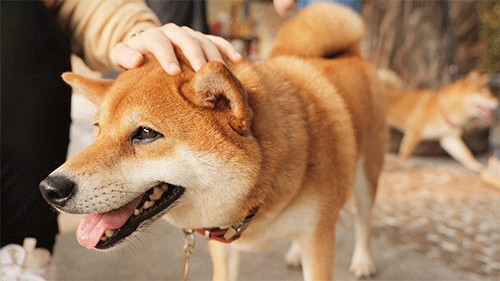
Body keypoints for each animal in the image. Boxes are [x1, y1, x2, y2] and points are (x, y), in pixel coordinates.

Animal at [40, 3, 386, 278]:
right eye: (98, 128)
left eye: (146, 133)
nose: (49, 188)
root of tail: (349, 55)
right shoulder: (224, 249)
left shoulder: (319, 243)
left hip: (366, 176)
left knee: (365, 221)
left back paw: (363, 261)